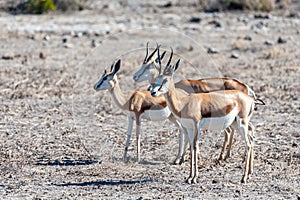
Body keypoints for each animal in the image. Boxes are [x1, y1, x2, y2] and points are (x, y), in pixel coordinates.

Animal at [132, 43, 262, 162]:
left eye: (147, 66)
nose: (135, 76)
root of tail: (247, 88)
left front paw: (183, 158)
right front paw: (182, 158)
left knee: (240, 131)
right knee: (243, 130)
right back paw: (227, 156)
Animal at [151, 49, 264, 184]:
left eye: (165, 80)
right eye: (156, 79)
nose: (153, 92)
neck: (184, 103)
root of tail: (250, 97)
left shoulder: (196, 126)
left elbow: (195, 146)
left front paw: (194, 178)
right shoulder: (189, 128)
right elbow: (191, 148)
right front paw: (189, 177)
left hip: (242, 123)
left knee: (248, 143)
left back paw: (244, 177)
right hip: (235, 124)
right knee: (251, 139)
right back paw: (248, 174)